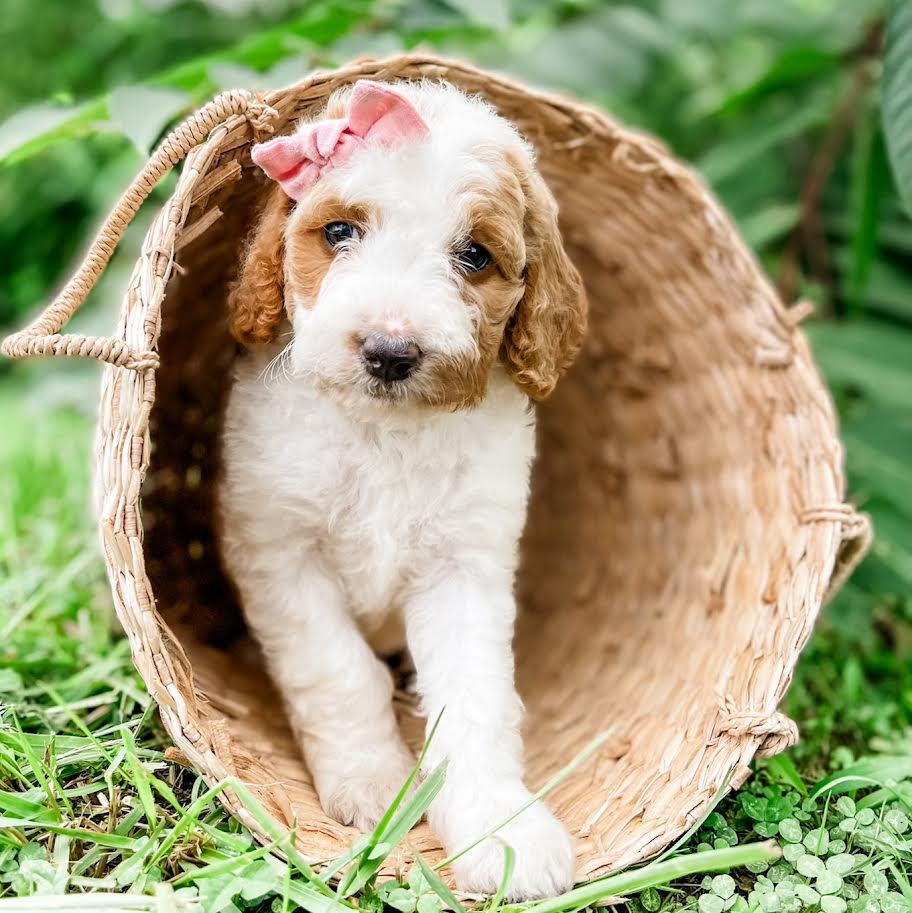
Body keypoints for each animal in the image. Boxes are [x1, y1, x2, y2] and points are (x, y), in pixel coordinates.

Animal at [220, 78, 588, 896]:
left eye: (474, 255)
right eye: (339, 232)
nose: (390, 351)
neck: (383, 432)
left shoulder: (466, 569)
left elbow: (474, 701)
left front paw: (500, 829)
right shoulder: (279, 549)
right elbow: (338, 670)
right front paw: (373, 787)